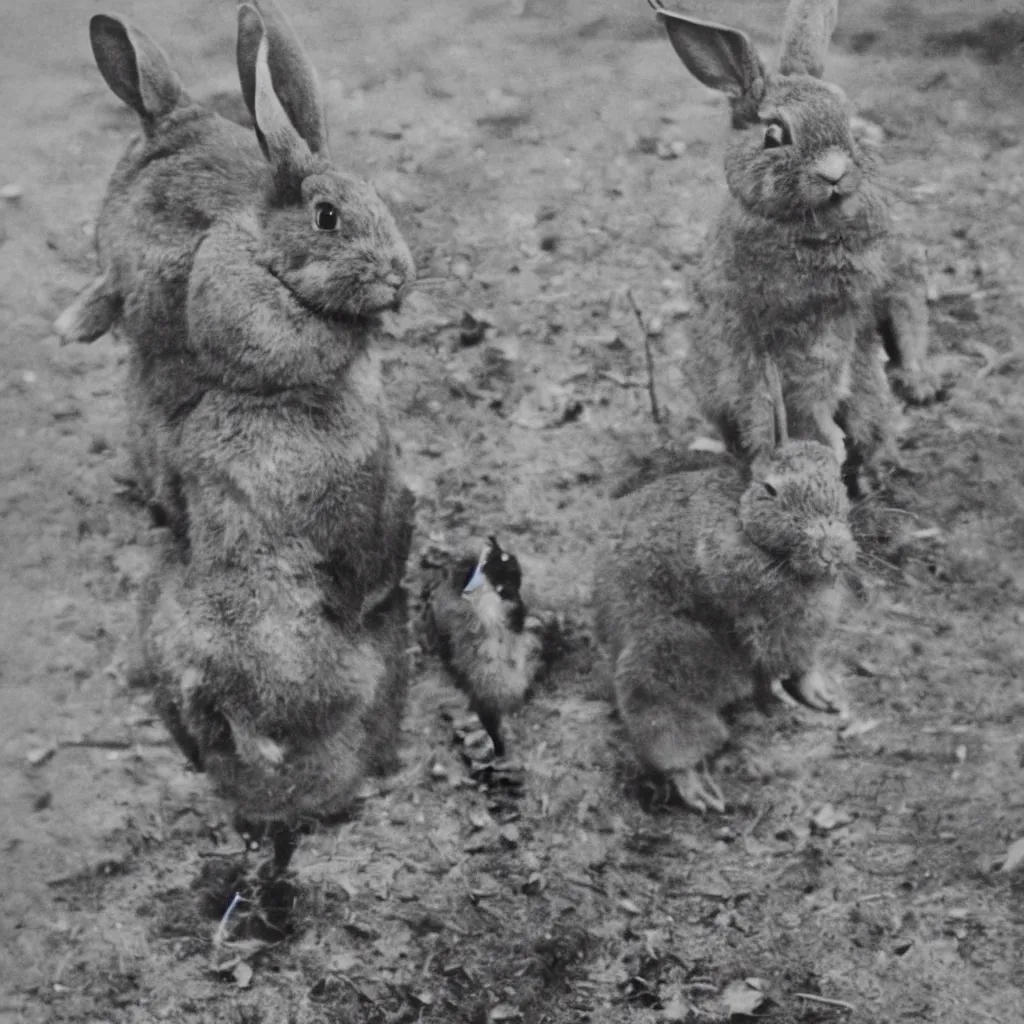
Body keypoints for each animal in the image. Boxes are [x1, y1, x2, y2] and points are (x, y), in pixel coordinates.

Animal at [598, 370, 851, 815]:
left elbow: (804, 669)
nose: (831, 551)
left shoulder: (803, 641)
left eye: (839, 480)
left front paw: (824, 697)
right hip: (658, 667)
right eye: (771, 490)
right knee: (671, 740)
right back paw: (700, 791)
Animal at [651, 0, 933, 483]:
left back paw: (878, 468)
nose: (835, 173)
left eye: (848, 122)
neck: (818, 223)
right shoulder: (780, 340)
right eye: (773, 135)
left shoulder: (882, 289)